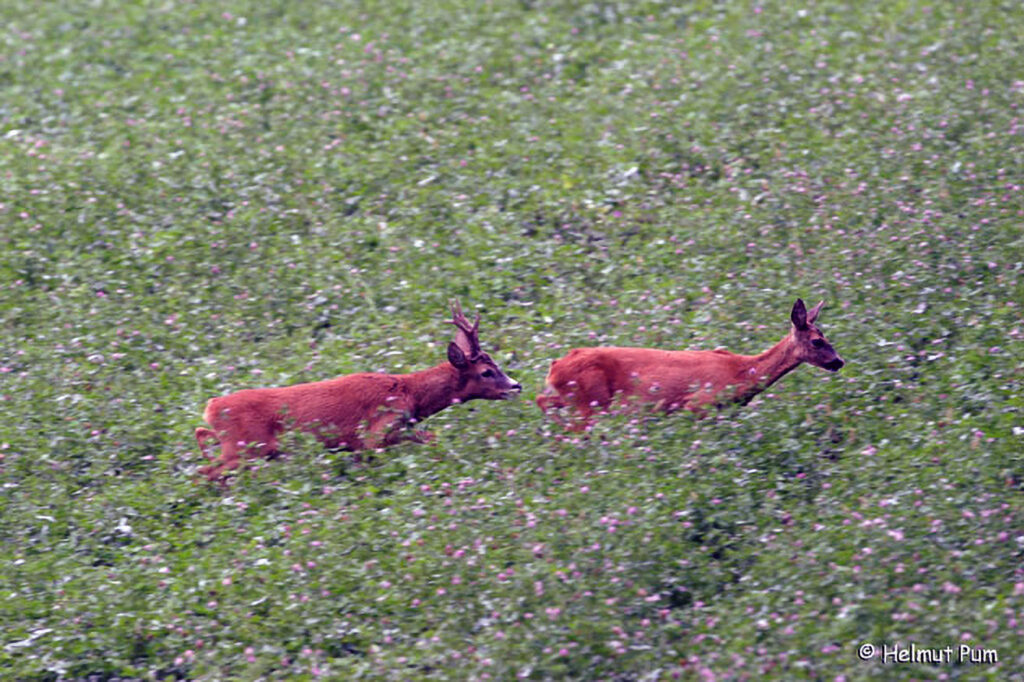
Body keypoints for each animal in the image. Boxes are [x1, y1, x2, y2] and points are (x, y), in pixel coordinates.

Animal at [195, 301, 521, 481]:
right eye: (486, 371)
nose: (516, 385)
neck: (411, 393)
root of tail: (212, 406)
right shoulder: (376, 432)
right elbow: (429, 438)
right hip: (246, 447)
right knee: (205, 472)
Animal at [536, 298, 844, 430]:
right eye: (817, 341)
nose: (839, 361)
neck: (743, 373)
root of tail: (554, 366)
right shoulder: (698, 403)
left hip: (576, 398)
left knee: (542, 399)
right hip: (590, 401)